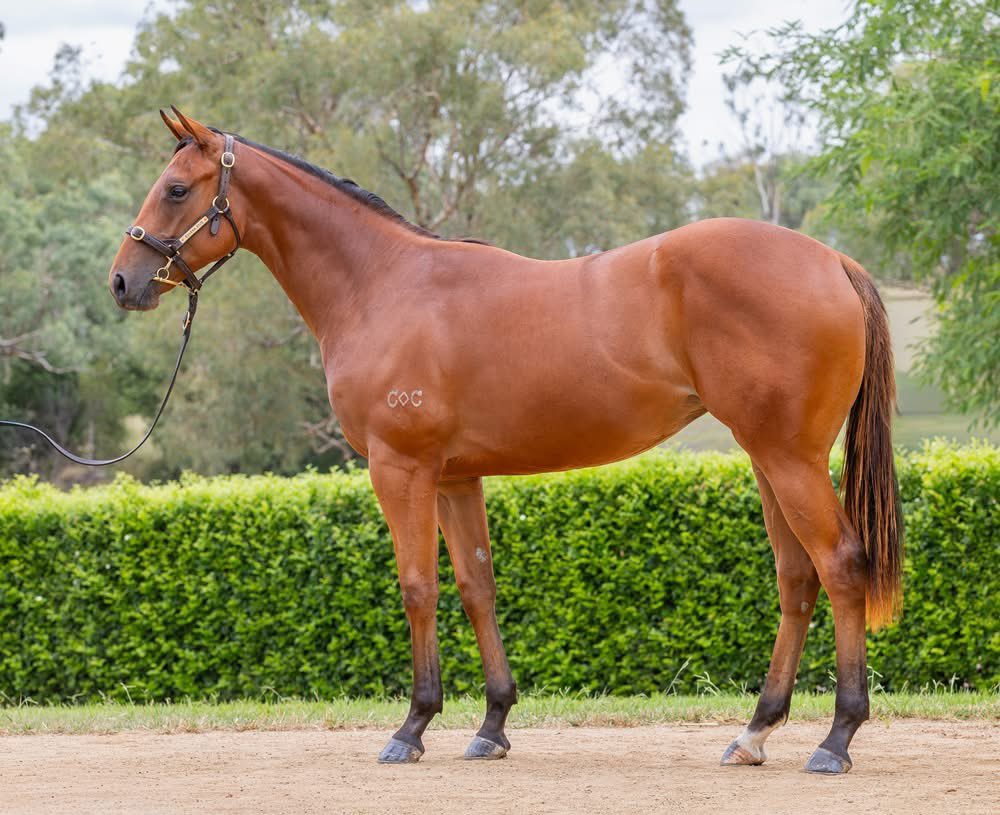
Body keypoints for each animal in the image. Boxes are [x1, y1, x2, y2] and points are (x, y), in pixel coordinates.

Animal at [109, 108, 902, 773]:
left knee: (840, 566)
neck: (381, 284)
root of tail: (832, 261)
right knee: (797, 580)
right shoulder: (456, 477)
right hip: (768, 459)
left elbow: (418, 587)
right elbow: (476, 587)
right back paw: (755, 731)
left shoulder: (401, 469)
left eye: (175, 189)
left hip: (790, 460)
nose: (123, 281)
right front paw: (491, 724)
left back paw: (836, 738)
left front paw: (412, 726)